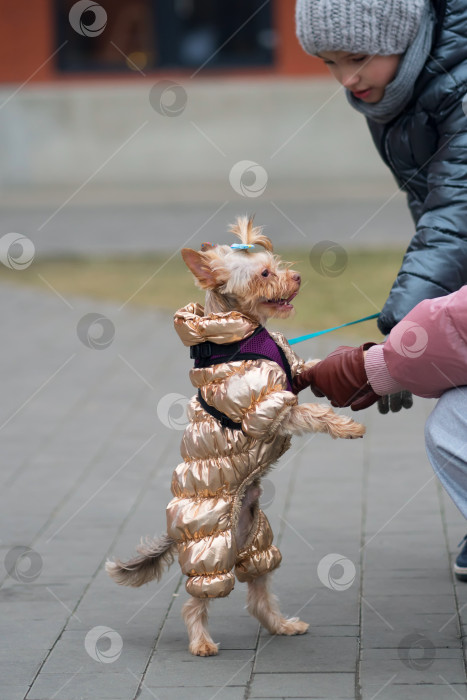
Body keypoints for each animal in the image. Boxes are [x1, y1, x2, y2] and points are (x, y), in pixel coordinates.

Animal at [107, 217, 366, 656]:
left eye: (276, 264)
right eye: (263, 274)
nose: (297, 277)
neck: (241, 335)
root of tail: (174, 532)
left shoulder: (292, 372)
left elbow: (308, 369)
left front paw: (346, 370)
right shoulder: (266, 408)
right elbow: (311, 413)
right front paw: (347, 426)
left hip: (254, 539)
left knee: (258, 591)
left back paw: (282, 625)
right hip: (211, 550)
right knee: (196, 599)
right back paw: (201, 643)